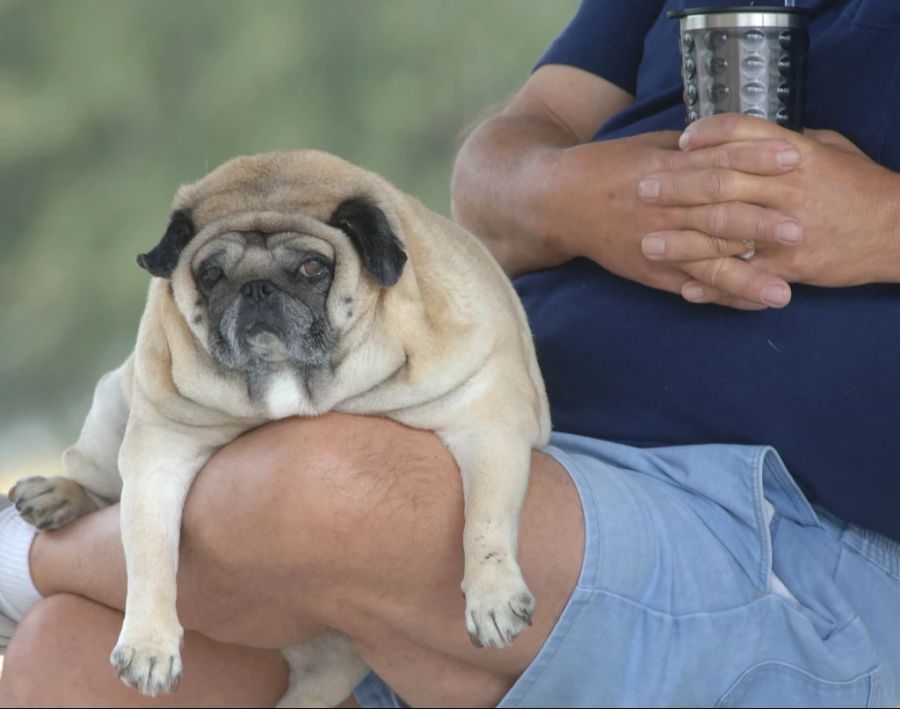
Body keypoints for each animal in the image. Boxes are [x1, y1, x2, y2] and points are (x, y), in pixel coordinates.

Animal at [10, 148, 552, 704]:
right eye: (210, 275)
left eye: (313, 267)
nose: (256, 288)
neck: (296, 381)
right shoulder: (159, 451)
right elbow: (148, 553)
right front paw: (148, 644)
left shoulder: (488, 422)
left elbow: (484, 520)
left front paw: (492, 597)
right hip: (112, 408)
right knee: (100, 487)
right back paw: (55, 494)